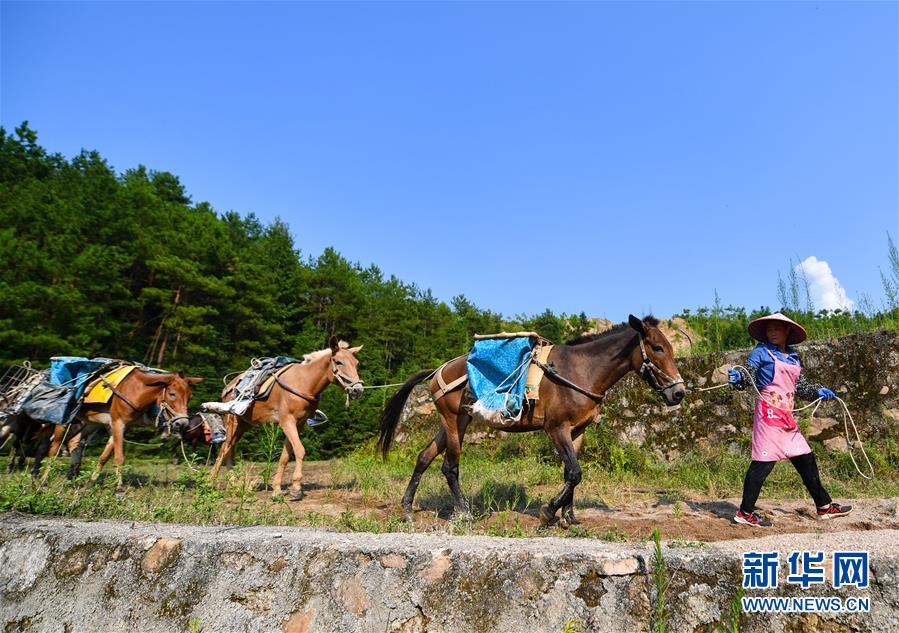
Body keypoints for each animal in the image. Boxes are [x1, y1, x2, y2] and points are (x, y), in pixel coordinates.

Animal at [209, 336, 364, 498]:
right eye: (339, 362)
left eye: (357, 364)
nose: (357, 390)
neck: (304, 382)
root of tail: (229, 386)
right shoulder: (287, 421)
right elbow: (300, 450)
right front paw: (296, 488)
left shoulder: (298, 424)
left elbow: (286, 455)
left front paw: (277, 488)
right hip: (232, 422)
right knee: (223, 450)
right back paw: (210, 483)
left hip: (244, 425)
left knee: (229, 450)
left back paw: (234, 485)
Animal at [376, 314, 684, 524]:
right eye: (657, 348)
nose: (678, 392)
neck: (580, 370)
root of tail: (438, 369)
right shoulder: (555, 428)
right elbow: (575, 472)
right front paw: (549, 511)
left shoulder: (577, 431)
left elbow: (570, 473)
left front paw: (569, 515)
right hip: (452, 420)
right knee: (449, 467)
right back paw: (463, 511)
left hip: (457, 421)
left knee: (424, 457)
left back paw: (407, 508)